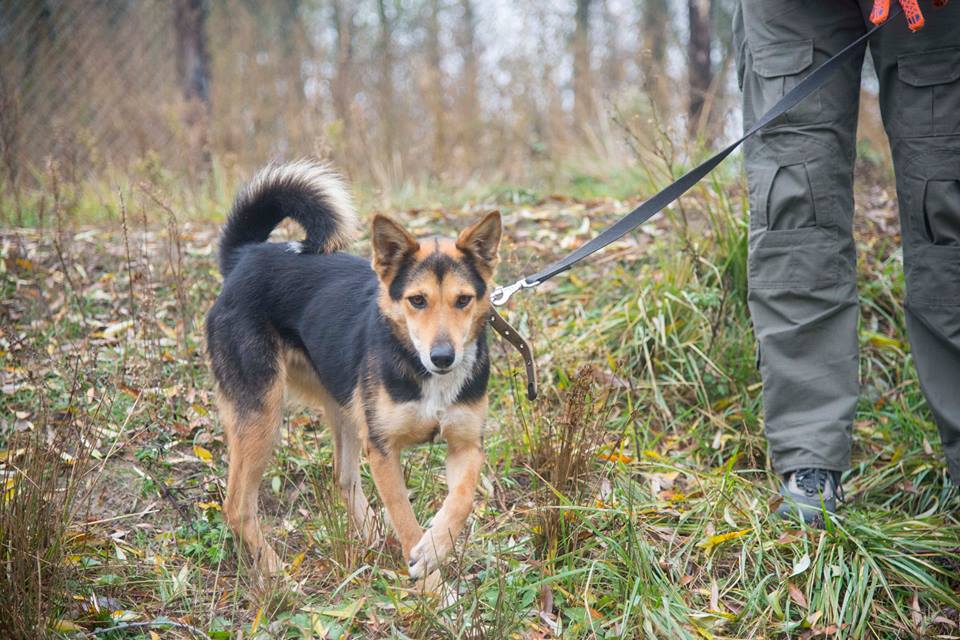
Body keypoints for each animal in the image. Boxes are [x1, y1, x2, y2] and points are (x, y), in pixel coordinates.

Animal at [205, 158, 498, 584]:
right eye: (417, 300)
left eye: (463, 300)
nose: (443, 357)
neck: (423, 372)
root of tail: (246, 256)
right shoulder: (383, 450)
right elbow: (407, 521)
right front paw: (432, 585)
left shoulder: (466, 446)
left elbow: (461, 501)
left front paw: (433, 550)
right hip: (262, 415)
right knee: (237, 506)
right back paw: (277, 575)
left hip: (344, 406)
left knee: (342, 478)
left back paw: (371, 534)